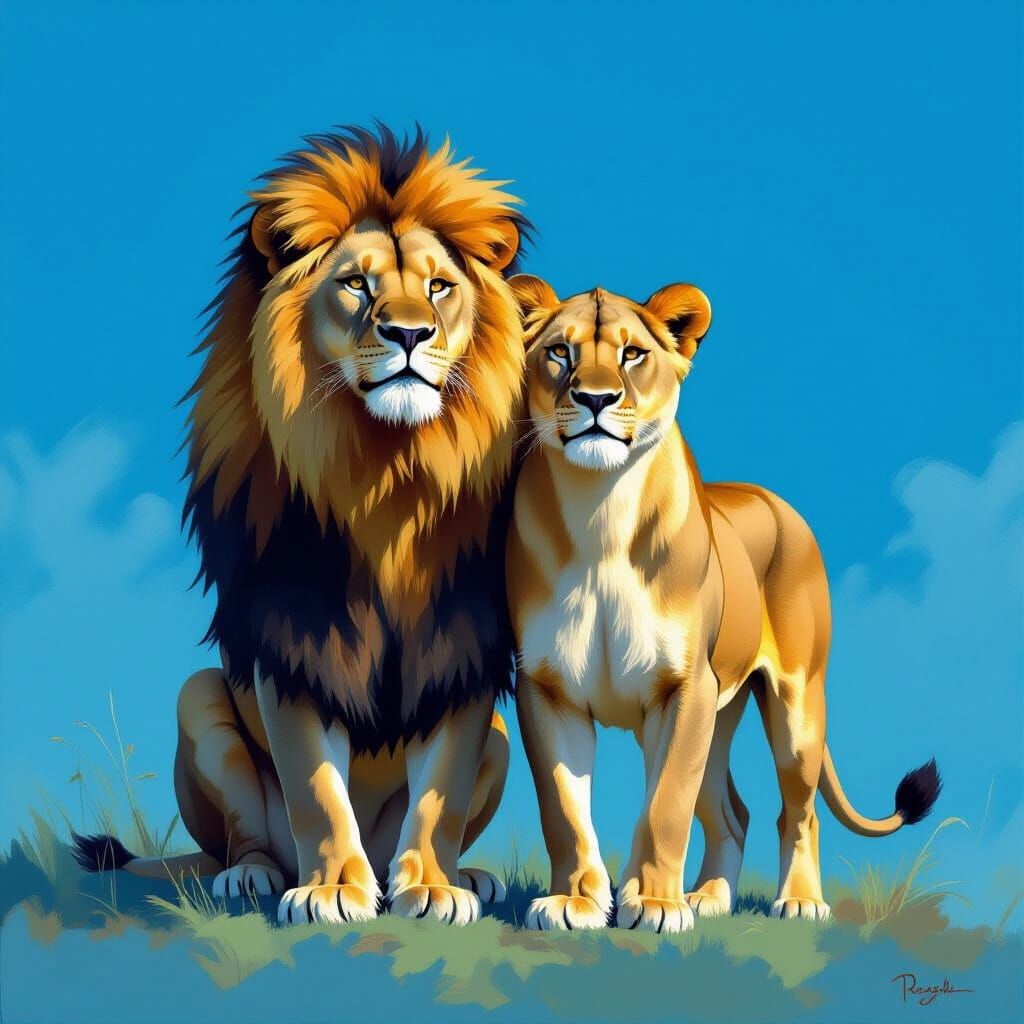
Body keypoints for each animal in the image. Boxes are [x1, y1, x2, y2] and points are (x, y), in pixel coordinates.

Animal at [73, 125, 529, 926]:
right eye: (356, 285)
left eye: (439, 287)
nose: (410, 334)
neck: (386, 477)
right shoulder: (293, 642)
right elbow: (316, 786)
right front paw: (333, 890)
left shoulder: (463, 647)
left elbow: (440, 790)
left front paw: (433, 887)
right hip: (199, 698)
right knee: (246, 840)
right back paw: (255, 876)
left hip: (500, 741)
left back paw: (461, 876)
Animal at [504, 276, 941, 932]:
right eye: (560, 352)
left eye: (632, 354)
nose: (595, 399)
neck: (599, 509)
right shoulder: (548, 687)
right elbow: (563, 808)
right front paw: (576, 902)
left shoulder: (684, 686)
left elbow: (665, 805)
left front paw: (654, 904)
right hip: (721, 709)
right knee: (733, 812)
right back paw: (709, 898)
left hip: (794, 706)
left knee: (798, 811)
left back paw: (799, 902)